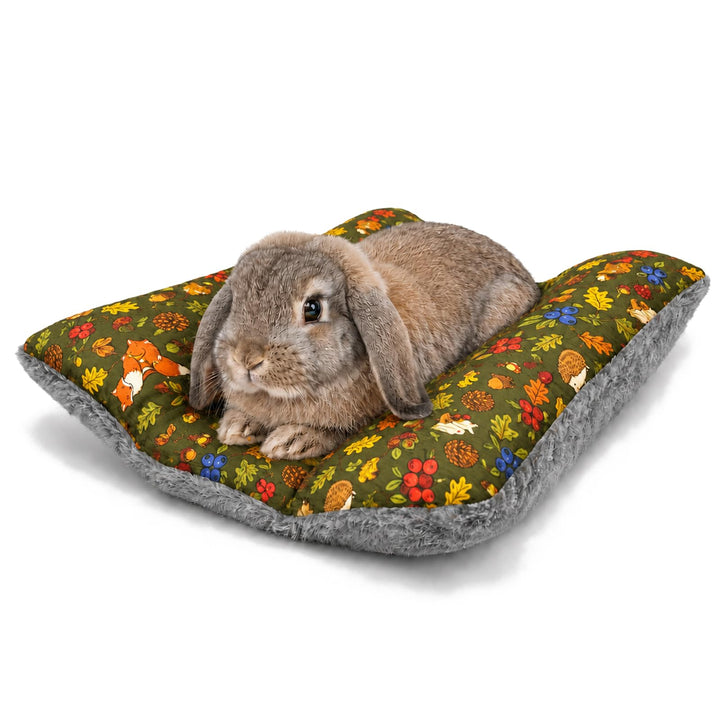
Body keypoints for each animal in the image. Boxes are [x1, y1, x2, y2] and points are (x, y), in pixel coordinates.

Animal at [189, 221, 540, 460]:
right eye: (236, 302)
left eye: (312, 308)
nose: (246, 359)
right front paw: (237, 428)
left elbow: (339, 431)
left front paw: (290, 441)